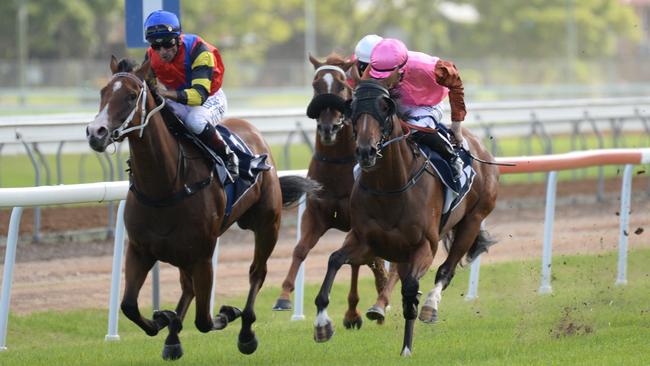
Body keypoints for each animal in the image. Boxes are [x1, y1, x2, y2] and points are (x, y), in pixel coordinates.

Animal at [86, 57, 318, 360]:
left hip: (267, 224)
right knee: (187, 288)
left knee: (257, 272)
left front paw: (227, 312)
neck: (166, 185)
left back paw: (246, 333)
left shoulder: (203, 255)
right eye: (103, 92)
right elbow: (129, 306)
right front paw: (162, 320)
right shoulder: (140, 249)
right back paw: (172, 337)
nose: (95, 132)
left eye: (130, 96)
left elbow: (205, 320)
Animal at [272, 52, 394, 328]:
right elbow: (300, 250)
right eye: (316, 85)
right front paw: (284, 296)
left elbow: (361, 261)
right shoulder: (316, 214)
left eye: (340, 85)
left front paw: (354, 311)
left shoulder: (357, 221)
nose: (327, 128)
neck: (337, 165)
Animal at [312, 79, 498, 354]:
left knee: (446, 270)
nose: (366, 152)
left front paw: (407, 348)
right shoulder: (366, 242)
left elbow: (411, 290)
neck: (389, 186)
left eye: (384, 108)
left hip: (473, 220)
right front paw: (322, 324)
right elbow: (334, 261)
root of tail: (480, 147)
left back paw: (430, 306)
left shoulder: (425, 246)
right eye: (353, 110)